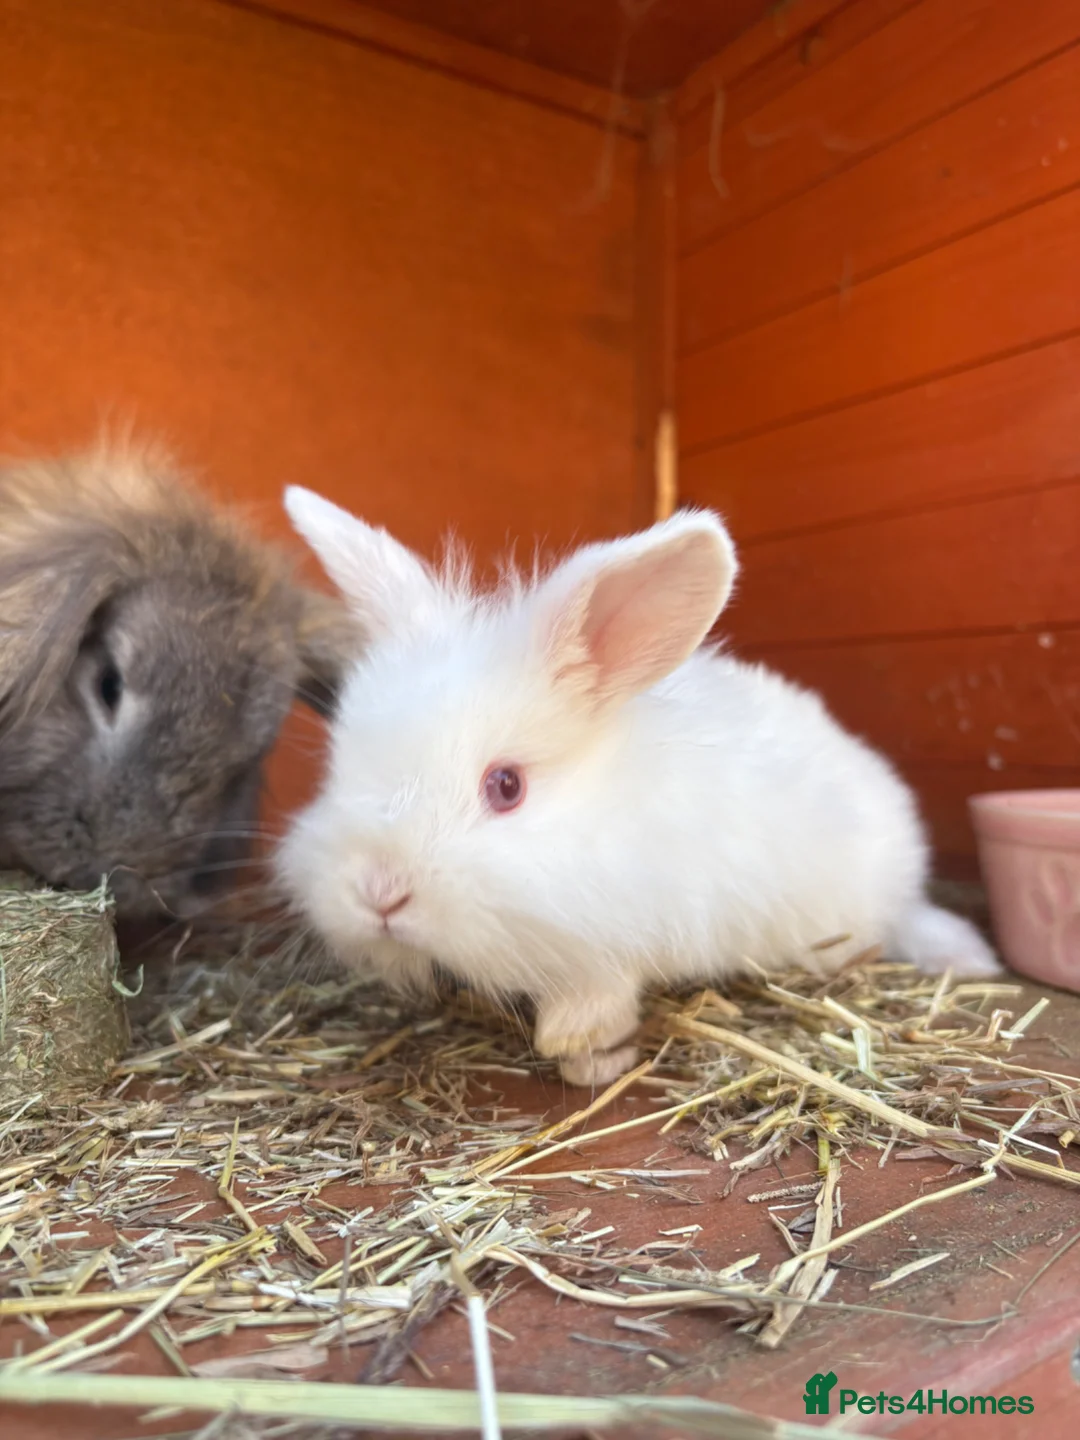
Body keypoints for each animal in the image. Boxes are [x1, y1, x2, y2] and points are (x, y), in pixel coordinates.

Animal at [275, 487, 1002, 1088]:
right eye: (339, 768)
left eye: (506, 786)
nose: (378, 892)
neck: (603, 814)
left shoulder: (621, 941)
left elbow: (595, 1005)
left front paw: (583, 1051)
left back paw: (971, 960)